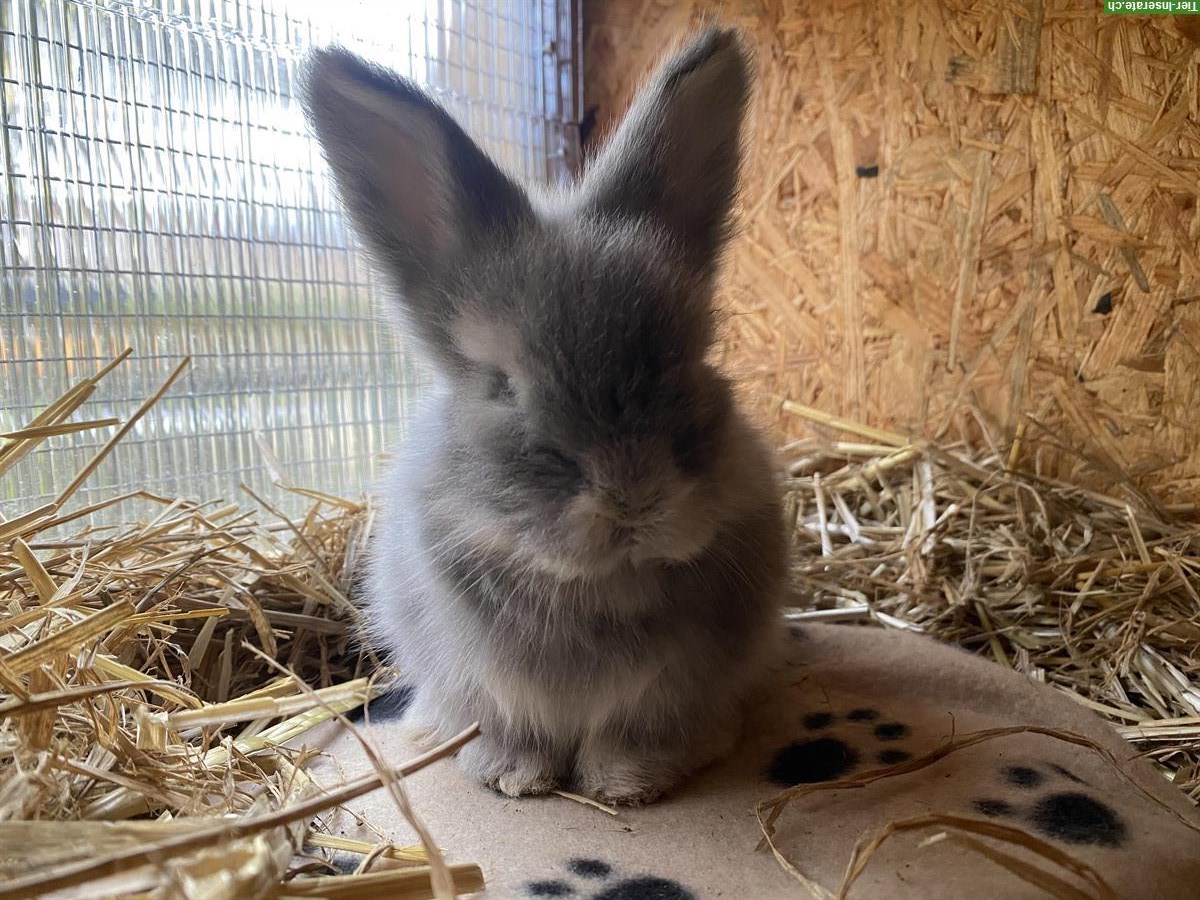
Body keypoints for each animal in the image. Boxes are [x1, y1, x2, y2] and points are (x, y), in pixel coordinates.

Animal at [302, 27, 788, 805]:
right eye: (502, 383)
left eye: (692, 356)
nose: (633, 500)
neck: (599, 588)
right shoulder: (481, 682)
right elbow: (511, 730)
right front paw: (513, 776)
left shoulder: (671, 691)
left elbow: (637, 732)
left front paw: (627, 780)